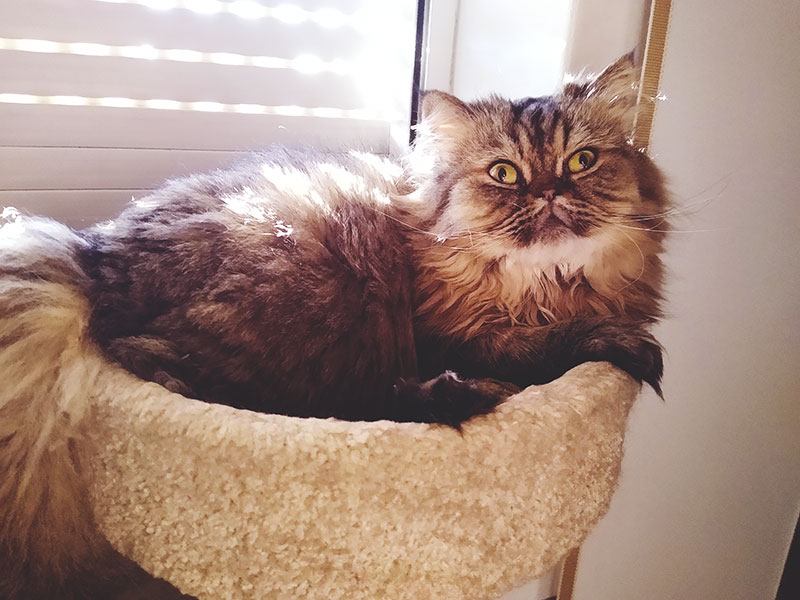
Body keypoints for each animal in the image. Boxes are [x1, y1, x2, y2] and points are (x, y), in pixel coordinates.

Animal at [0, 54, 664, 596]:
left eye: (582, 161)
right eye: (504, 173)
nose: (550, 192)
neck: (543, 286)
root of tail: (94, 256)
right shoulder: (448, 338)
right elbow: (546, 345)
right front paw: (621, 344)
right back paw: (457, 397)